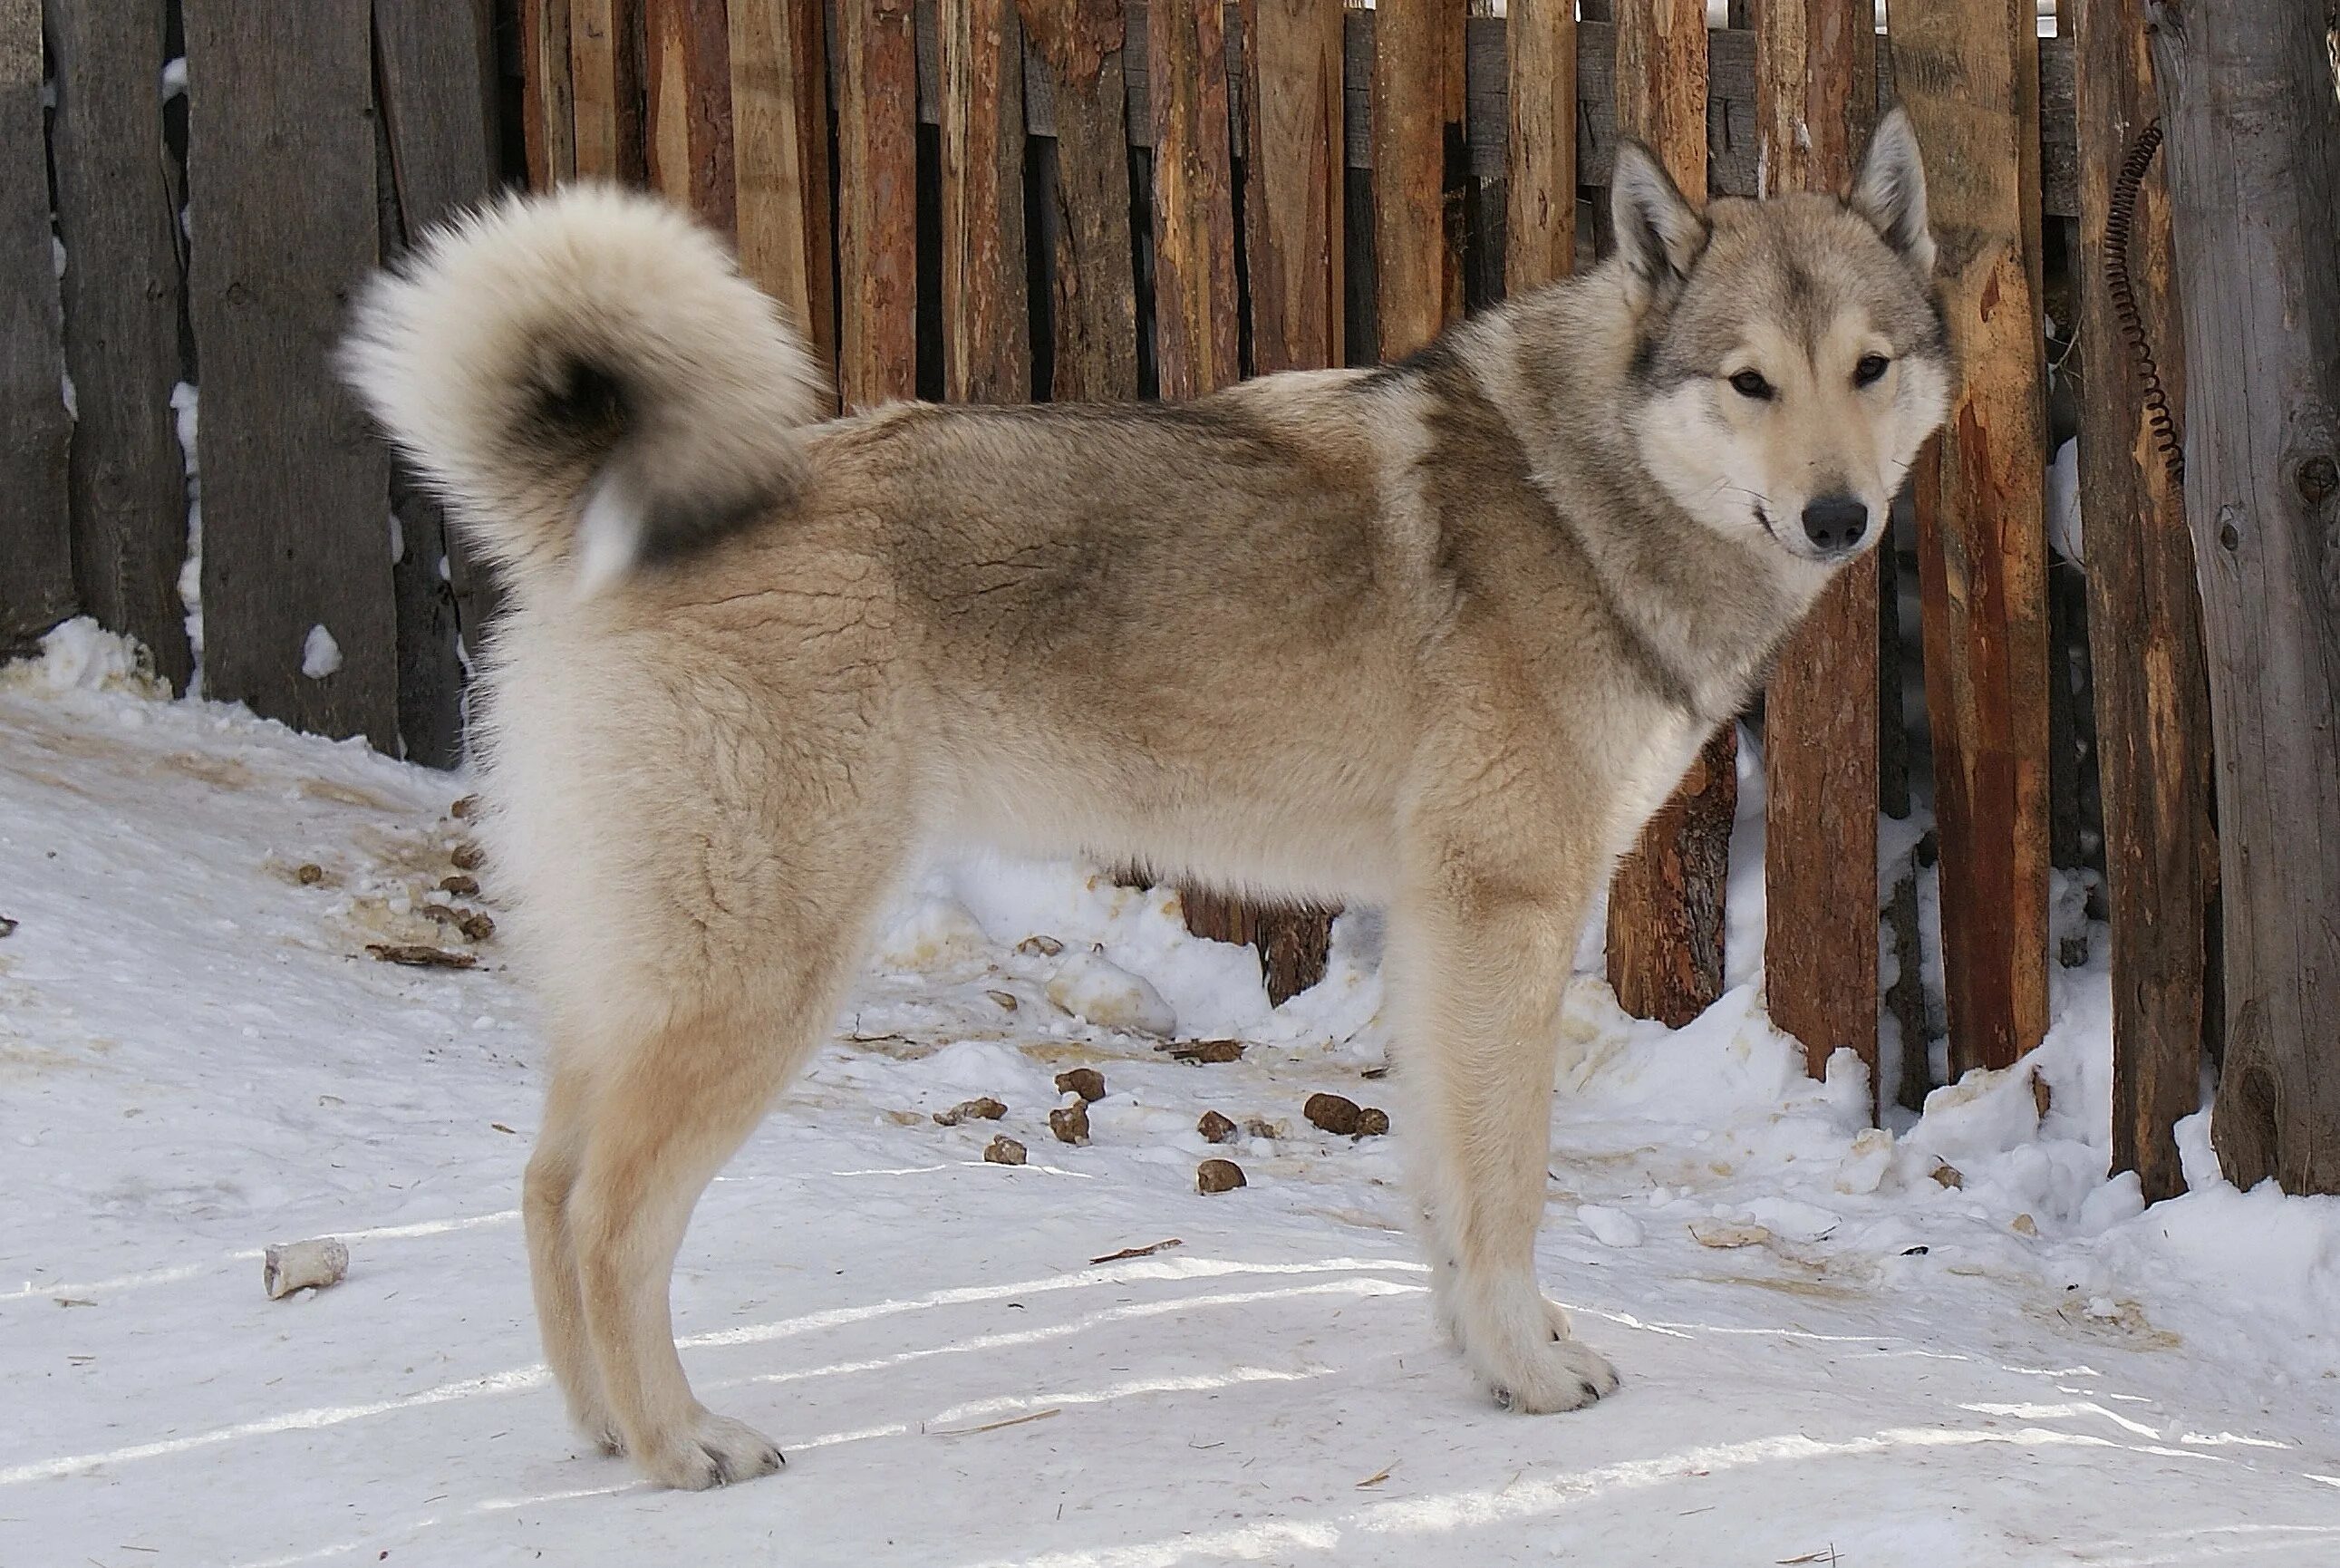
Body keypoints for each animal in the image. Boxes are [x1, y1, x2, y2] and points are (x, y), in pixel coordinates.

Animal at [341, 113, 1956, 1497]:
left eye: (1869, 366)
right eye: (1748, 381)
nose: (1838, 519)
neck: (1583, 493)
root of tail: (619, 515)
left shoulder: (1438, 930)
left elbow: (1446, 1192)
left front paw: (1492, 1357)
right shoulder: (1500, 915)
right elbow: (1504, 1187)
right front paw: (1531, 1370)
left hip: (642, 978)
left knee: (544, 1186)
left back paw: (606, 1434)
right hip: (757, 981)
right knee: (609, 1220)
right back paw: (683, 1445)